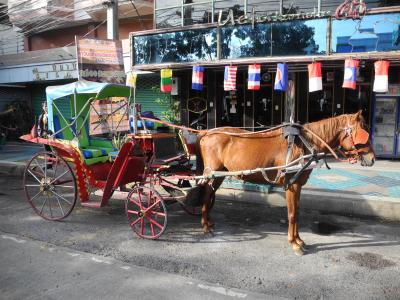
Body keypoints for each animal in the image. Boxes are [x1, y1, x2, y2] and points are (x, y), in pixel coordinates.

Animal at [197, 111, 376, 256]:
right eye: (363, 132)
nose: (372, 159)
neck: (305, 144)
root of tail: (206, 132)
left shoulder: (298, 186)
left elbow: (297, 212)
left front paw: (299, 240)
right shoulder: (292, 185)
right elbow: (292, 214)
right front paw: (294, 243)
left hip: (219, 174)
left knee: (210, 194)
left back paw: (209, 222)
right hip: (211, 173)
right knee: (206, 195)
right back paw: (205, 227)